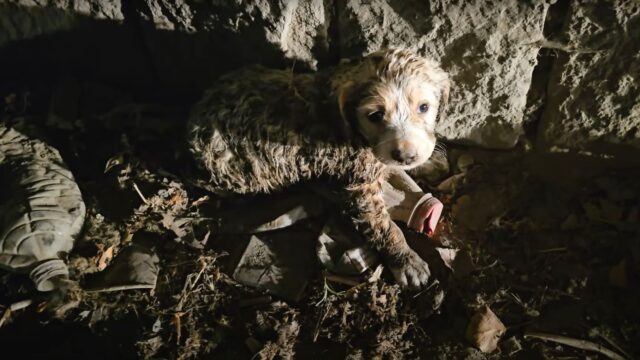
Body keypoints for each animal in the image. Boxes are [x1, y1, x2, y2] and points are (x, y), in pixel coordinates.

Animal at [189, 47, 450, 290]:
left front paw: (430, 163)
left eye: (424, 108)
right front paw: (407, 261)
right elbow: (384, 225)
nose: (405, 155)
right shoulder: (360, 185)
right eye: (375, 115)